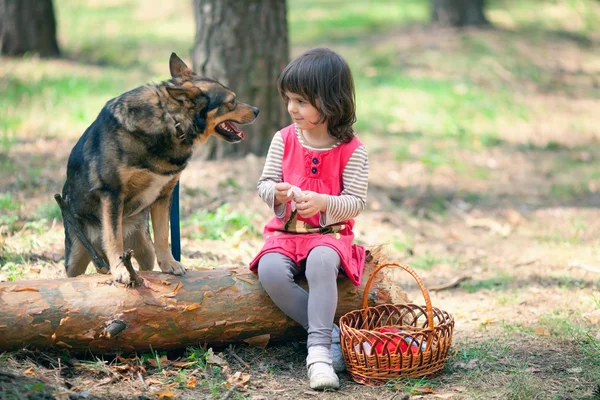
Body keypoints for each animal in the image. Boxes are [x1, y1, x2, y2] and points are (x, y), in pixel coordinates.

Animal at [59, 54, 258, 284]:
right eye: (231, 102)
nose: (257, 111)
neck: (170, 120)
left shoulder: (164, 195)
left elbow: (163, 236)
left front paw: (170, 264)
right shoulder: (112, 193)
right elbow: (113, 238)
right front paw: (119, 270)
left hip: (145, 249)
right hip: (75, 256)